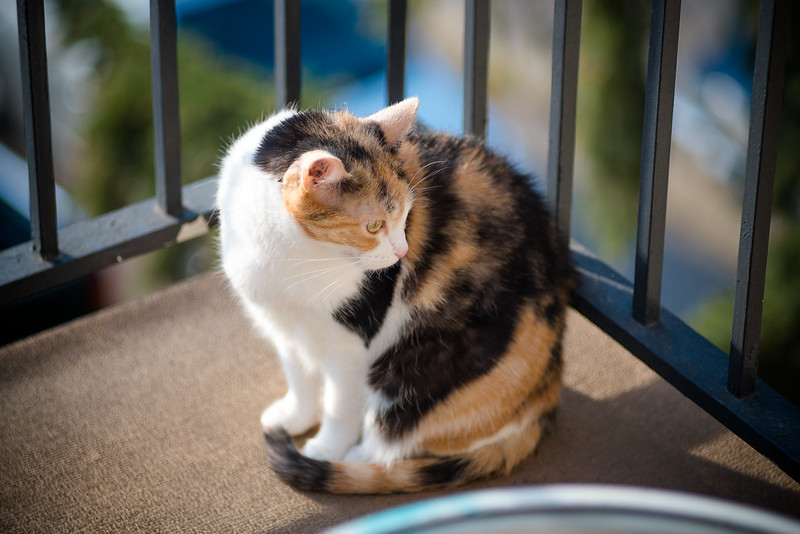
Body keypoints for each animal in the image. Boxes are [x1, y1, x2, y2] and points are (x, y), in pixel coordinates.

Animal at [214, 97, 576, 494]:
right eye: (373, 226)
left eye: (406, 216)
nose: (403, 252)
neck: (290, 256)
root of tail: (548, 389)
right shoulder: (285, 325)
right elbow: (299, 376)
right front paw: (294, 417)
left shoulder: (351, 344)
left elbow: (340, 406)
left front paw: (325, 448)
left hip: (410, 373)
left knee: (396, 439)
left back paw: (354, 457)